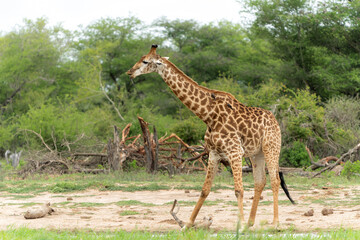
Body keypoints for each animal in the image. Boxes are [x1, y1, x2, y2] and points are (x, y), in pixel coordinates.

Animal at [125, 44, 294, 229]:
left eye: (146, 61)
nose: (129, 72)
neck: (208, 115)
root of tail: (275, 120)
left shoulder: (235, 152)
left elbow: (238, 189)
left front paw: (240, 224)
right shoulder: (214, 153)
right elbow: (205, 190)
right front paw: (188, 224)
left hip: (272, 147)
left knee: (275, 180)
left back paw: (275, 223)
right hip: (257, 153)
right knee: (260, 181)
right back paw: (251, 222)